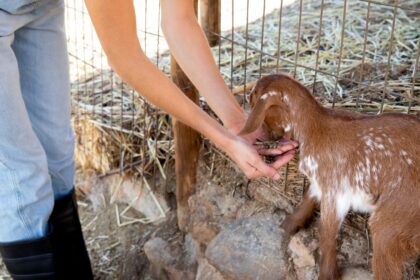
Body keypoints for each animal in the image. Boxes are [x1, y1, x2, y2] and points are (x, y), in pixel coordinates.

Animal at [240, 74, 420, 280]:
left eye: (254, 96)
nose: (266, 138)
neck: (315, 128)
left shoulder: (335, 189)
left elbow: (326, 233)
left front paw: (327, 274)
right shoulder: (321, 182)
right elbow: (308, 198)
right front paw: (289, 225)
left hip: (393, 221)